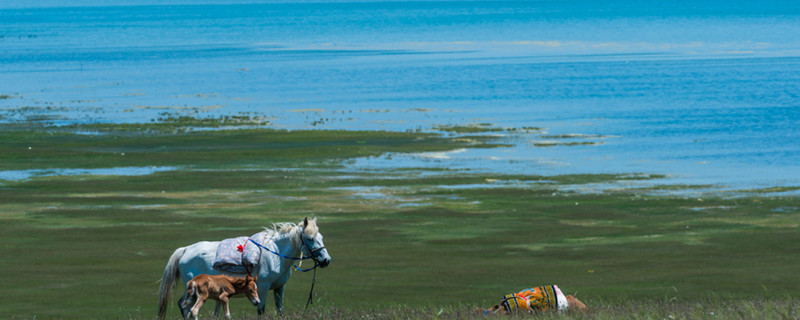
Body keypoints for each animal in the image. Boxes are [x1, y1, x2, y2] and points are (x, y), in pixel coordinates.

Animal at [159, 218, 332, 320]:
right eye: (310, 238)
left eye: (321, 237)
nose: (326, 260)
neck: (276, 253)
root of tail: (186, 249)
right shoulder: (262, 288)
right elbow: (261, 310)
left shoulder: (279, 287)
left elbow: (280, 309)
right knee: (186, 306)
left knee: (184, 306)